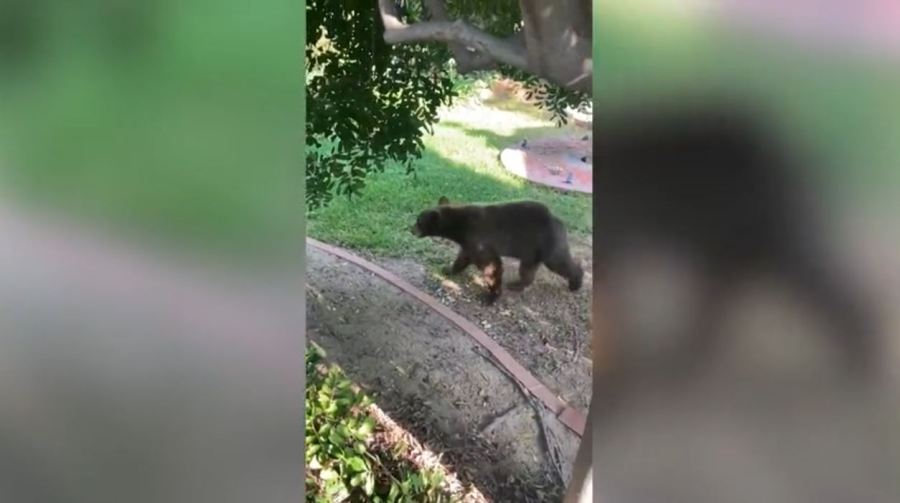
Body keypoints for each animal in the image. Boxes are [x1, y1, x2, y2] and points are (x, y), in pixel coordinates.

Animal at [410, 198, 580, 306]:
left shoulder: (480, 240)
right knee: (527, 269)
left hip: (547, 243)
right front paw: (448, 269)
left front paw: (490, 297)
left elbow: (492, 266)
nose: (411, 229)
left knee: (560, 262)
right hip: (531, 252)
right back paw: (516, 284)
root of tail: (559, 221)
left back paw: (576, 283)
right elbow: (463, 257)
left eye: (418, 221)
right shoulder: (470, 244)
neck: (460, 226)